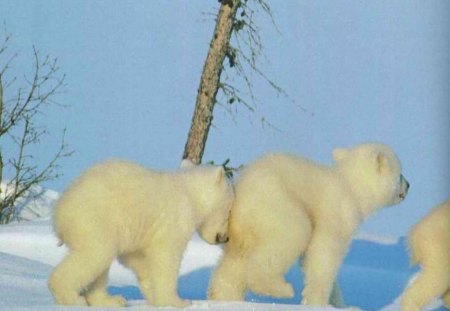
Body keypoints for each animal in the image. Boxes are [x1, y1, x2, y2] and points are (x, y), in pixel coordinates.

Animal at [48, 161, 236, 310]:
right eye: (229, 210)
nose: (225, 238)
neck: (189, 193)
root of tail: (59, 212)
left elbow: (137, 258)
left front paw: (154, 294)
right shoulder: (174, 220)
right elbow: (165, 257)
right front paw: (178, 302)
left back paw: (112, 300)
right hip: (95, 220)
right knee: (96, 254)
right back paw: (72, 298)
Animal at [209, 143, 410, 308]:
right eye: (400, 173)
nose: (408, 185)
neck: (351, 187)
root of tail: (240, 195)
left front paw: (341, 305)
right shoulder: (336, 215)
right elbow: (322, 257)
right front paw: (316, 302)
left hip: (239, 231)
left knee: (233, 264)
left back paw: (225, 299)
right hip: (277, 206)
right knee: (292, 235)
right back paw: (281, 288)